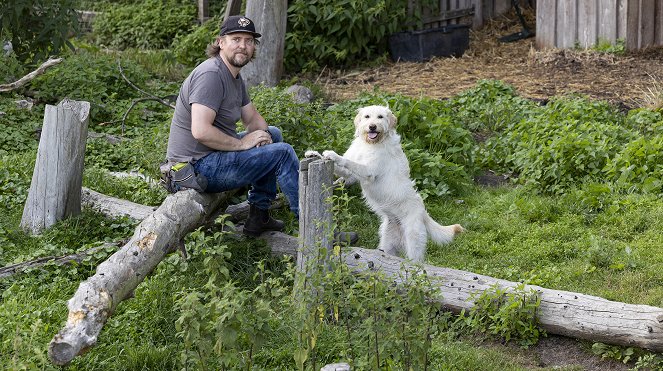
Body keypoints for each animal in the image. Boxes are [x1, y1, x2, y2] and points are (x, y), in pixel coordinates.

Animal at [308, 104, 466, 262]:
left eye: (380, 117)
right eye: (367, 116)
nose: (372, 126)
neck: (370, 143)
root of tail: (423, 213)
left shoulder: (368, 171)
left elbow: (348, 162)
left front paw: (333, 155)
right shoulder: (350, 175)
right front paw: (313, 153)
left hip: (413, 247)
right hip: (388, 245)